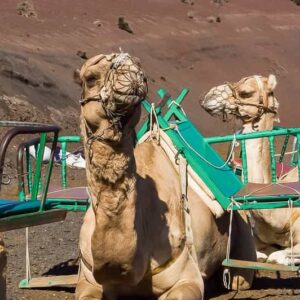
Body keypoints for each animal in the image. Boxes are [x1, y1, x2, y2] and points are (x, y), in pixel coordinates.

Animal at [75, 52, 255, 298]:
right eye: (90, 78)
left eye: (140, 67)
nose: (131, 72)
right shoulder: (87, 279)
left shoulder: (186, 275)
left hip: (242, 220)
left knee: (240, 273)